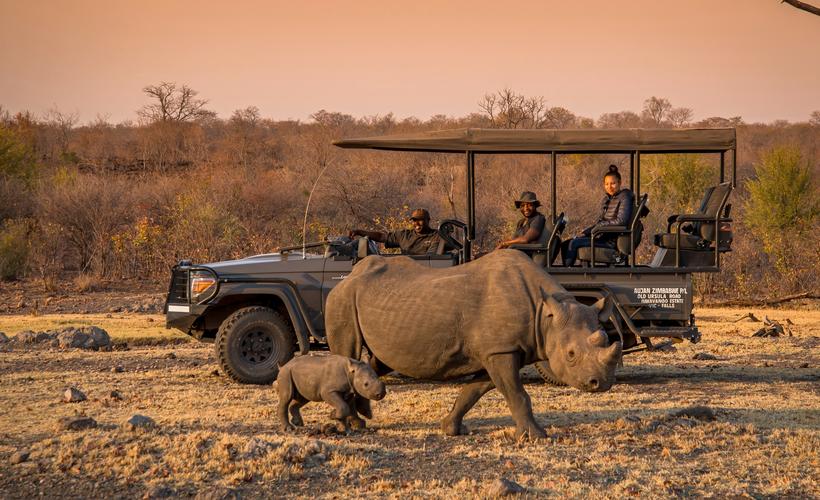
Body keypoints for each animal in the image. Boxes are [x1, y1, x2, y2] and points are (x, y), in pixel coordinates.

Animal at [325, 250, 621, 439]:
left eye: (608, 340)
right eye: (571, 354)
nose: (601, 383)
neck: (545, 314)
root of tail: (346, 277)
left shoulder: (497, 350)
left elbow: (475, 390)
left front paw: (450, 429)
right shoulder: (501, 350)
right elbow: (517, 394)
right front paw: (537, 436)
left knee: (377, 362)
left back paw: (363, 416)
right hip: (341, 299)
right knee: (347, 354)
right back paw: (355, 424)